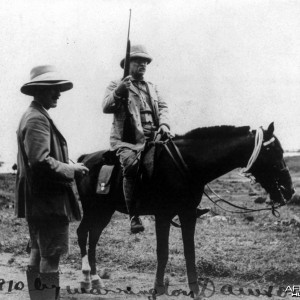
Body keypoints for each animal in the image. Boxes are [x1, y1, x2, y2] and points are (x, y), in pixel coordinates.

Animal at [75, 123, 296, 298]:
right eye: (274, 152)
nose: (289, 190)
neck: (187, 165)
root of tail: (84, 159)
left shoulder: (188, 214)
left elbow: (190, 252)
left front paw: (195, 291)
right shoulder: (163, 216)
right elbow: (162, 252)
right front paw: (158, 289)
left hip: (104, 212)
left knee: (93, 237)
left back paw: (96, 280)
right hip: (93, 209)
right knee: (82, 233)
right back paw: (86, 279)